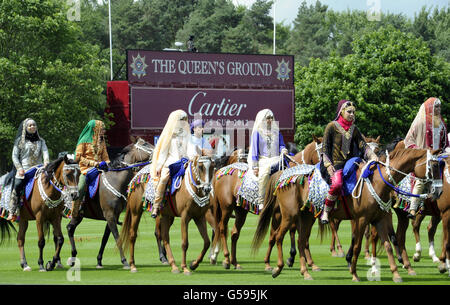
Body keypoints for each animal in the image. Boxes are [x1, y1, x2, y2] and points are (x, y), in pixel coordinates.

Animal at [65, 137, 153, 268]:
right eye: (146, 144)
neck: (115, 181)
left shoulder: (113, 216)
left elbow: (105, 238)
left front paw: (99, 260)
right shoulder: (110, 215)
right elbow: (117, 236)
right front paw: (124, 261)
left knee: (69, 228)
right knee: (67, 229)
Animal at [253, 146, 442, 282]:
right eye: (433, 166)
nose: (438, 192)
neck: (378, 181)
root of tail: (282, 174)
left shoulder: (380, 219)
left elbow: (388, 244)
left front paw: (396, 273)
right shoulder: (361, 219)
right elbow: (357, 245)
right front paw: (354, 273)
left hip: (306, 216)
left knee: (301, 241)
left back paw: (305, 272)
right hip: (288, 215)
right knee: (278, 237)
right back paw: (277, 268)